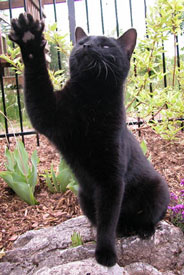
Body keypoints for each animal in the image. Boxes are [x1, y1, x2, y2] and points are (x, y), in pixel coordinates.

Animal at [8, 14, 170, 268]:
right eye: (82, 42)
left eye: (104, 45)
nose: (86, 46)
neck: (90, 100)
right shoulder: (46, 113)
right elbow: (36, 78)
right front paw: (29, 37)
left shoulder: (110, 179)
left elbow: (107, 221)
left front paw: (105, 253)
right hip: (84, 195)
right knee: (108, 220)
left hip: (159, 190)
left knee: (149, 216)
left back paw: (143, 230)